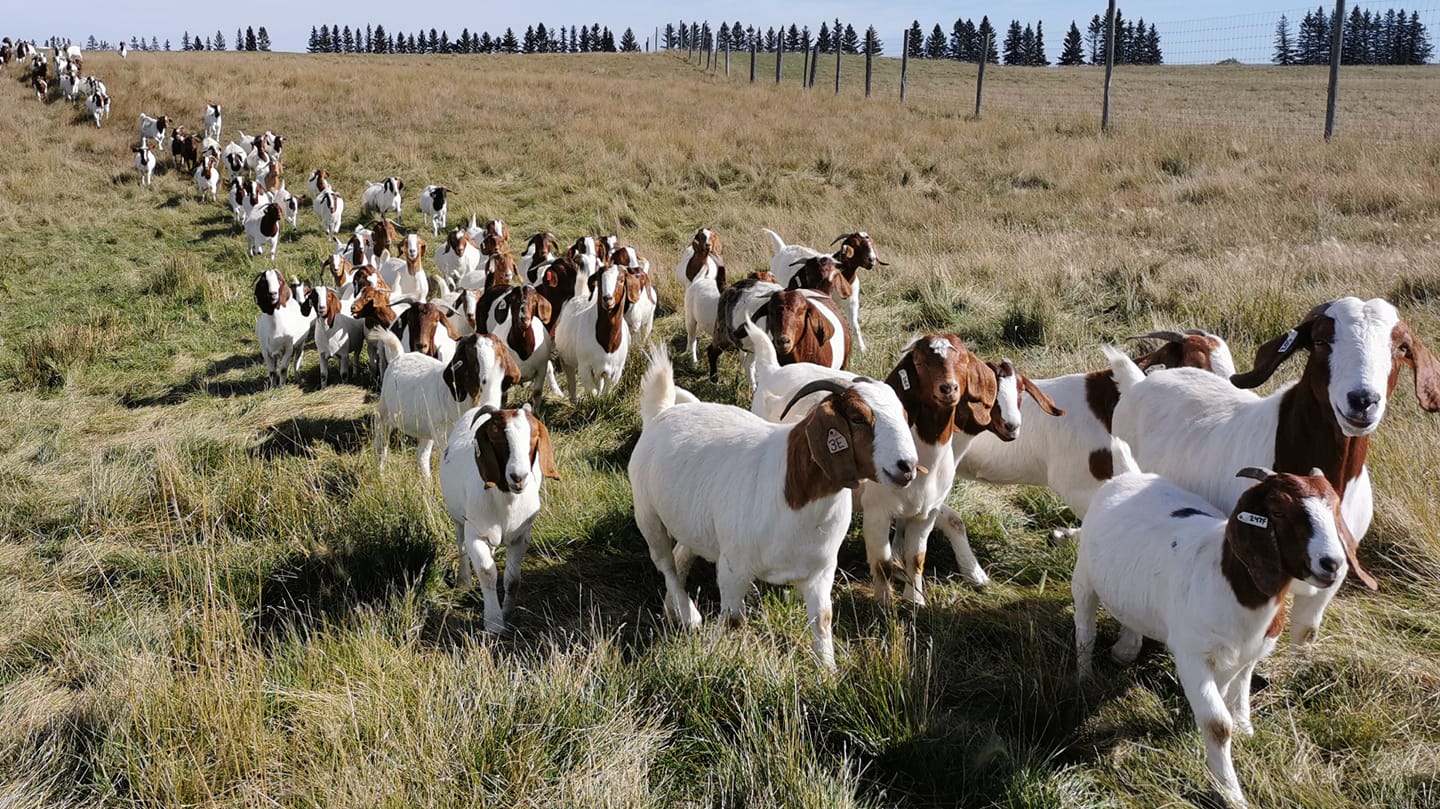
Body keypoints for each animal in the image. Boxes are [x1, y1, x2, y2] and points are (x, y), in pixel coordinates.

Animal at [439, 404, 560, 632]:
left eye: (534, 437)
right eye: (497, 439)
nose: (518, 477)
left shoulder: (521, 537)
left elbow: (512, 579)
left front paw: (507, 614)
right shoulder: (476, 534)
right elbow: (487, 573)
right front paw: (494, 623)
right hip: (458, 518)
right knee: (461, 545)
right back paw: (464, 582)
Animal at [631, 349, 919, 667]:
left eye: (905, 415)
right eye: (857, 417)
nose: (907, 467)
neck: (793, 491)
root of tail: (660, 413)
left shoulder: (821, 570)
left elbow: (822, 619)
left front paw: (827, 670)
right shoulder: (733, 566)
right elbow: (732, 619)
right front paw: (712, 655)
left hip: (694, 522)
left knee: (683, 552)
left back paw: (673, 608)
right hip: (648, 515)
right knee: (665, 563)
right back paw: (688, 614)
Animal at [1075, 459, 1376, 808]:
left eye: (1336, 508)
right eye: (1278, 510)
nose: (1332, 564)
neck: (1232, 585)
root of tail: (1128, 474)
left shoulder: (1245, 652)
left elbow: (1234, 688)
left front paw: (1238, 729)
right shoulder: (1192, 654)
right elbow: (1218, 724)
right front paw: (1230, 792)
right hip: (1083, 578)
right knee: (1085, 632)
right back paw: (1084, 678)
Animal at [1110, 298, 1438, 645]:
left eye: (1401, 348)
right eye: (1320, 341)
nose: (1363, 401)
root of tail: (1141, 382)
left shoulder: (1332, 577)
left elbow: (1304, 634)